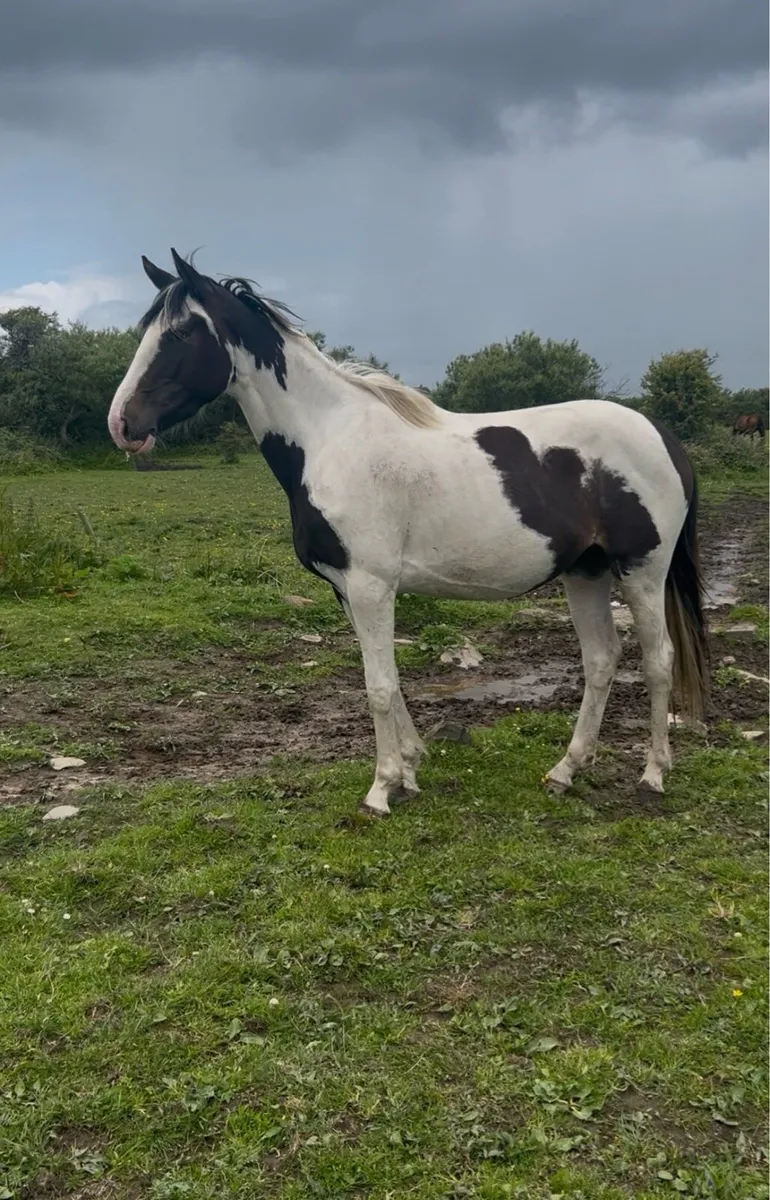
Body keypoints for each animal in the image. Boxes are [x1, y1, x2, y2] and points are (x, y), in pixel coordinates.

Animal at [108, 250, 708, 817]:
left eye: (180, 333)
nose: (122, 424)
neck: (330, 438)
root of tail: (661, 435)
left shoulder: (371, 586)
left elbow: (377, 687)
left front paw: (380, 790)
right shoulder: (347, 589)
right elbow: (390, 682)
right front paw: (410, 771)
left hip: (642, 571)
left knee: (658, 660)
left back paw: (653, 775)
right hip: (585, 572)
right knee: (602, 659)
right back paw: (565, 770)